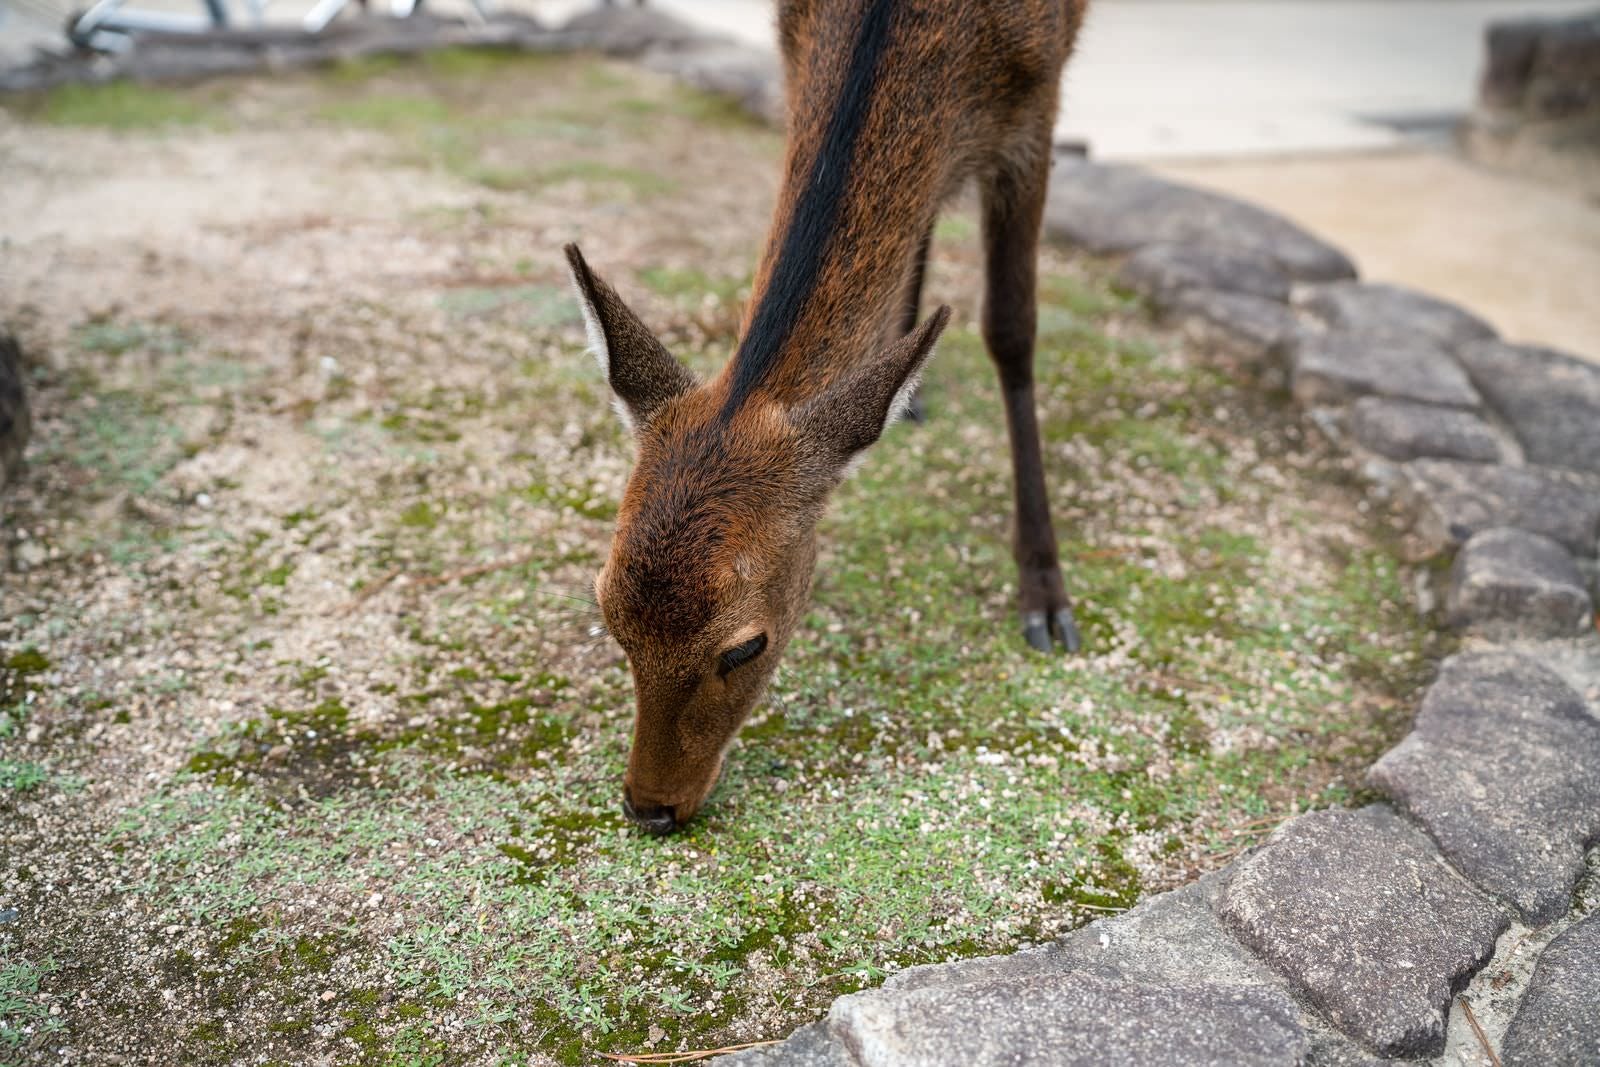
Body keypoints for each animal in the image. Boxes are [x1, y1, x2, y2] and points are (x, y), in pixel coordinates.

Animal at [566, 0, 1088, 835]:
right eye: (609, 613)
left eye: (745, 647)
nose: (649, 807)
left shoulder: (1039, 105)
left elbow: (1012, 329)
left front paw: (1044, 596)